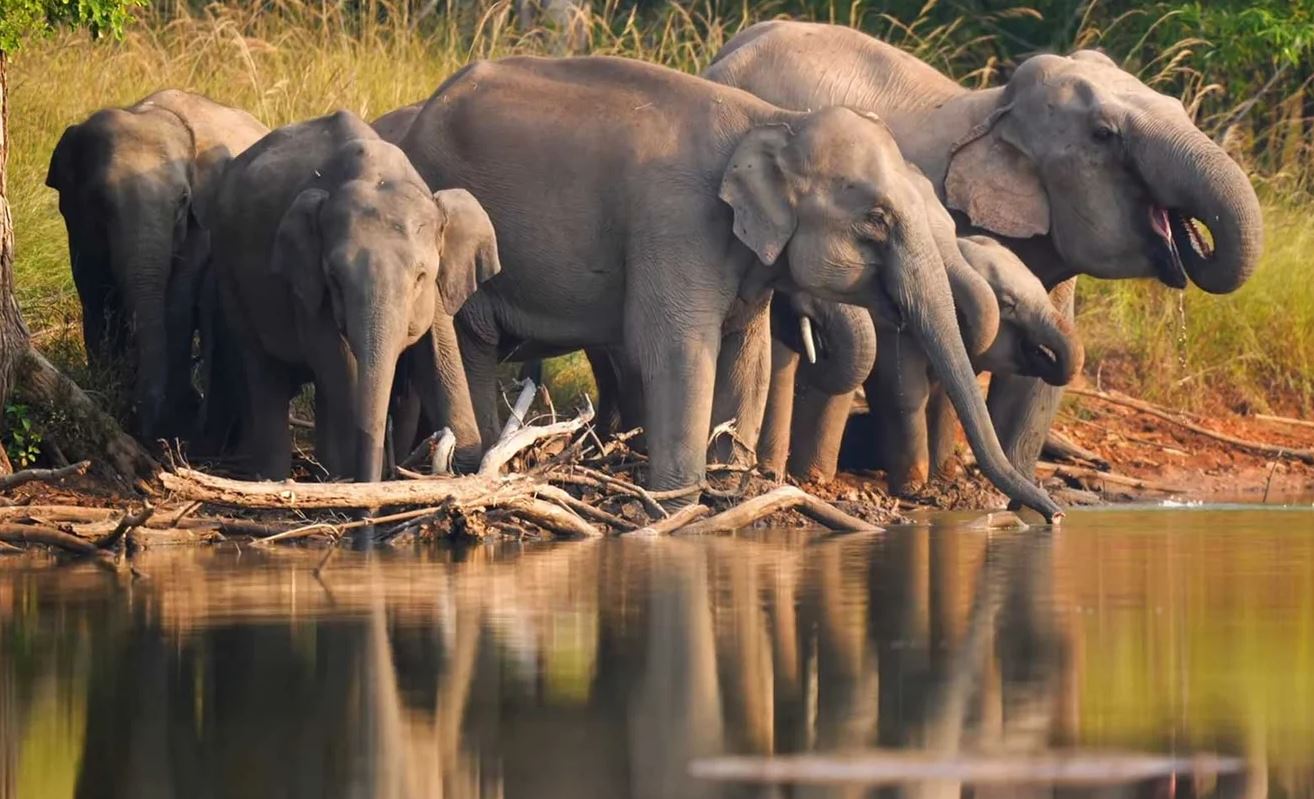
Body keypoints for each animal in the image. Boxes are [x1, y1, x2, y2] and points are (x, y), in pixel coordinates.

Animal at [44, 89, 268, 441]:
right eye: (99, 201)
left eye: (182, 201)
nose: (140, 427)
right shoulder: (76, 222)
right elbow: (94, 292)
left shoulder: (201, 221)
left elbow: (177, 301)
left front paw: (171, 423)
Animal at [206, 110, 499, 482]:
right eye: (335, 278)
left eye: (421, 276)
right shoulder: (307, 283)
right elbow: (337, 361)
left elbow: (440, 357)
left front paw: (464, 460)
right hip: (228, 269)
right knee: (262, 367)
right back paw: (278, 477)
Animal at [397, 55, 1060, 518]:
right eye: (876, 219)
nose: (1049, 516)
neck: (773, 119)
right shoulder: (675, 223)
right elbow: (678, 351)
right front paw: (675, 507)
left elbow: (750, 358)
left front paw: (734, 493)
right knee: (470, 346)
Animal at [706, 20, 1263, 478]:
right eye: (1104, 135)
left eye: (1177, 106)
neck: (995, 109)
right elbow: (907, 356)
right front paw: (924, 485)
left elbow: (1035, 389)